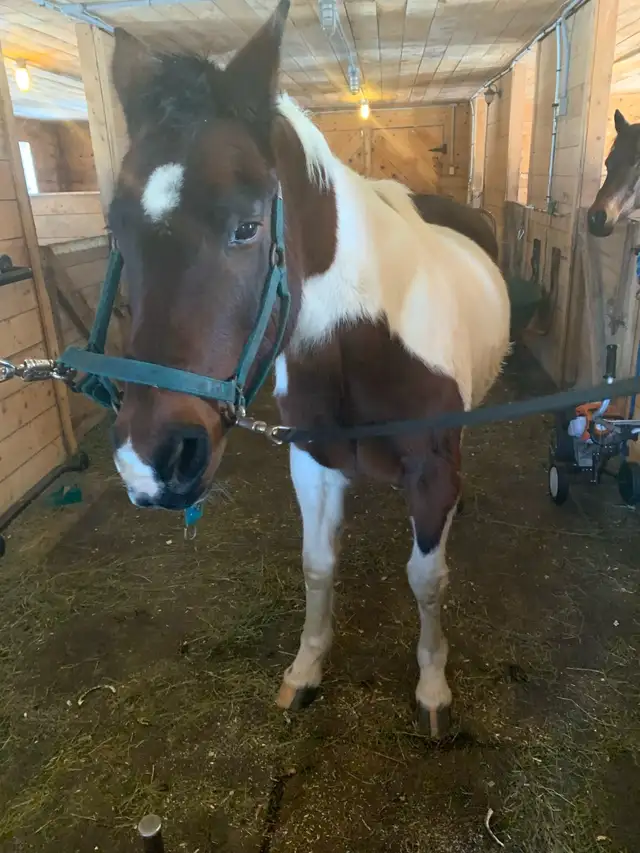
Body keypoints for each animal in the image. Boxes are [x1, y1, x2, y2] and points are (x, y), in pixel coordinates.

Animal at [108, 0, 511, 739]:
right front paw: (306, 669)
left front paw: (433, 686)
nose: (147, 461)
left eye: (247, 226)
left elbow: (426, 579)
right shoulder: (313, 464)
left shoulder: (433, 471)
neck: (361, 339)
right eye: (116, 229)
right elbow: (318, 566)